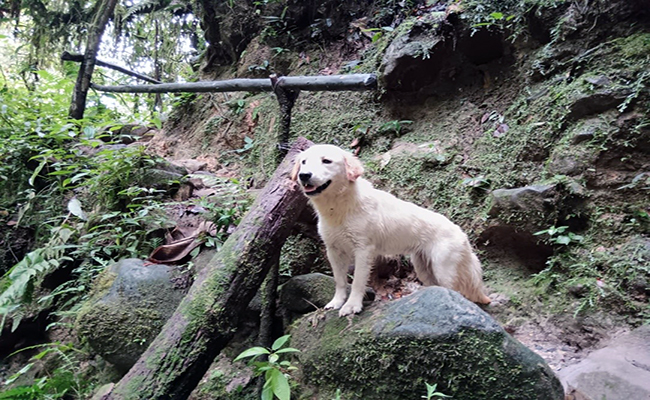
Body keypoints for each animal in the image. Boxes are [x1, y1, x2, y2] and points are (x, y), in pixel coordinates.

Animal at [292, 144, 488, 316]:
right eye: (304, 162)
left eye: (326, 161)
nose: (304, 175)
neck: (339, 208)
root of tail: (461, 233)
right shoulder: (334, 250)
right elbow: (340, 281)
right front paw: (336, 302)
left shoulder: (363, 250)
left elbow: (357, 282)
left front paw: (352, 306)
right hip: (423, 269)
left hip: (444, 270)